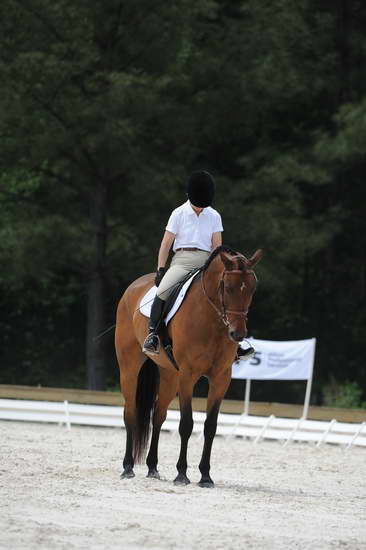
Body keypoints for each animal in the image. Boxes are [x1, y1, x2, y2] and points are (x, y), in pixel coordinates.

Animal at [116, 246, 262, 488]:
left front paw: (205, 476)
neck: (212, 318)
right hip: (130, 367)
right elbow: (186, 423)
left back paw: (152, 468)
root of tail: (132, 287)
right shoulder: (188, 375)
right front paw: (182, 474)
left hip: (169, 375)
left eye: (252, 289)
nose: (238, 334)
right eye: (228, 287)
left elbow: (210, 426)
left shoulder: (221, 378)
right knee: (130, 412)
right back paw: (128, 467)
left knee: (158, 416)